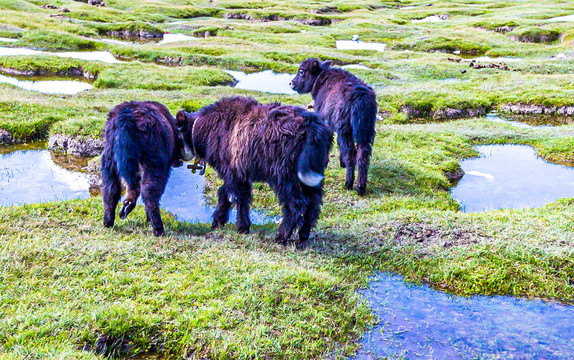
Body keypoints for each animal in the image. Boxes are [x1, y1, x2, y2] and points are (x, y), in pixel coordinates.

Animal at [102, 101, 194, 236]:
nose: (180, 162)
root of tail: (126, 117)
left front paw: (127, 205)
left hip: (109, 162)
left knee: (110, 189)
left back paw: (109, 221)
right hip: (153, 165)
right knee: (149, 192)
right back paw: (158, 228)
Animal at [178, 96, 336, 245]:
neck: (206, 127)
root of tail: (312, 128)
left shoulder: (232, 172)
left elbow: (237, 198)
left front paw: (241, 227)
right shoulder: (238, 175)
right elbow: (228, 194)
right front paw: (220, 222)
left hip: (284, 175)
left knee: (296, 204)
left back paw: (281, 236)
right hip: (310, 175)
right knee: (313, 203)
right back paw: (303, 234)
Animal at [292, 58, 378, 195]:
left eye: (301, 71)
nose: (291, 83)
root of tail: (360, 96)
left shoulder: (326, 123)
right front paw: (341, 163)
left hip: (346, 129)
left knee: (351, 153)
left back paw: (348, 184)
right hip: (365, 131)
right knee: (363, 154)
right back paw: (360, 187)